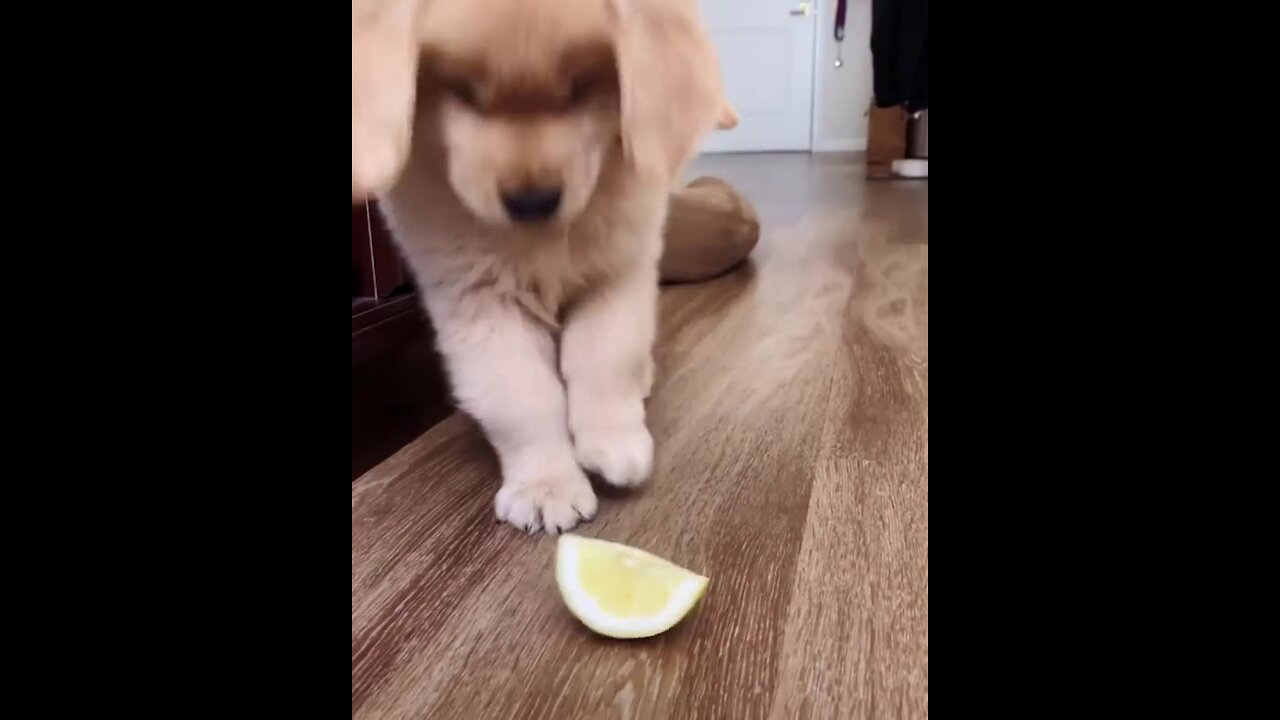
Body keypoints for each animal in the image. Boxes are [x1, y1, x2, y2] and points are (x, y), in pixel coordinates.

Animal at [350, 0, 732, 530]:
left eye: (583, 86)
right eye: (462, 91)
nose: (532, 201)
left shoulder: (617, 276)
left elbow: (605, 360)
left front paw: (613, 441)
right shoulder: (479, 302)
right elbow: (522, 399)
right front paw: (546, 484)